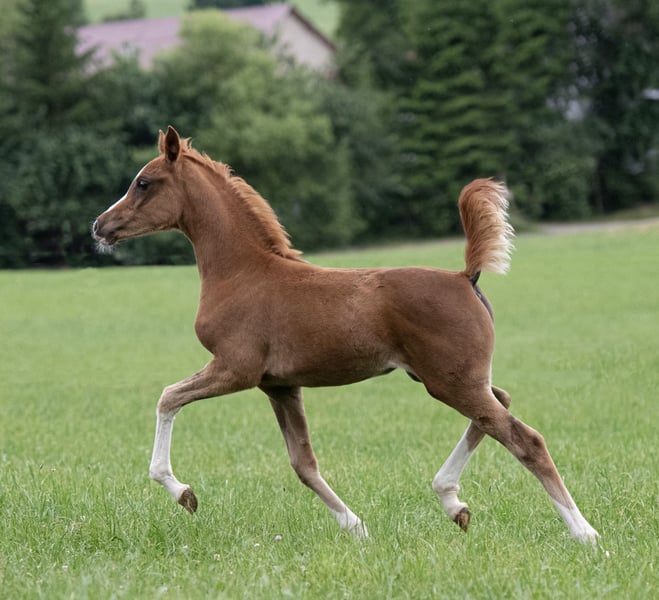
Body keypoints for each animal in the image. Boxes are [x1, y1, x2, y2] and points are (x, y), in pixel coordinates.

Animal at [92, 126, 599, 544]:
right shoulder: (279, 385)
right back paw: (453, 501)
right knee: (501, 406)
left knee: (525, 438)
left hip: (450, 381)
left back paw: (584, 533)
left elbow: (167, 397)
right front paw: (356, 527)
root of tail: (464, 276)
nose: (100, 226)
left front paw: (184, 493)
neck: (243, 273)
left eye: (144, 182)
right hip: (450, 378)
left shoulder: (235, 369)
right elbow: (303, 464)